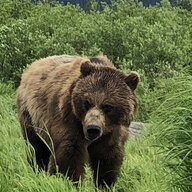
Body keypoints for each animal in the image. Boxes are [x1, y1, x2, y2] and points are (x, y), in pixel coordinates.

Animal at [16, 54, 139, 188]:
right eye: (87, 102)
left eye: (107, 106)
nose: (93, 128)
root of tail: (32, 66)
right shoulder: (68, 119)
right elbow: (70, 153)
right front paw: (71, 181)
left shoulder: (112, 131)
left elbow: (107, 157)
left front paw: (105, 183)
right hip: (31, 116)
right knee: (36, 148)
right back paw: (38, 170)